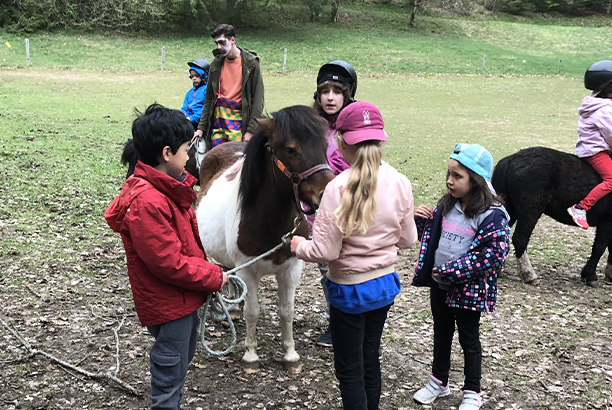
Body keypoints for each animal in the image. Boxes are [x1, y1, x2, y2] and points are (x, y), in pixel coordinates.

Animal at [195, 105, 334, 372]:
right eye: (290, 149)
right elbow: (252, 311)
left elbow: (287, 311)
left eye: (324, 144)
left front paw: (290, 355)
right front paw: (251, 355)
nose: (328, 193)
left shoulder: (292, 269)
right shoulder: (248, 269)